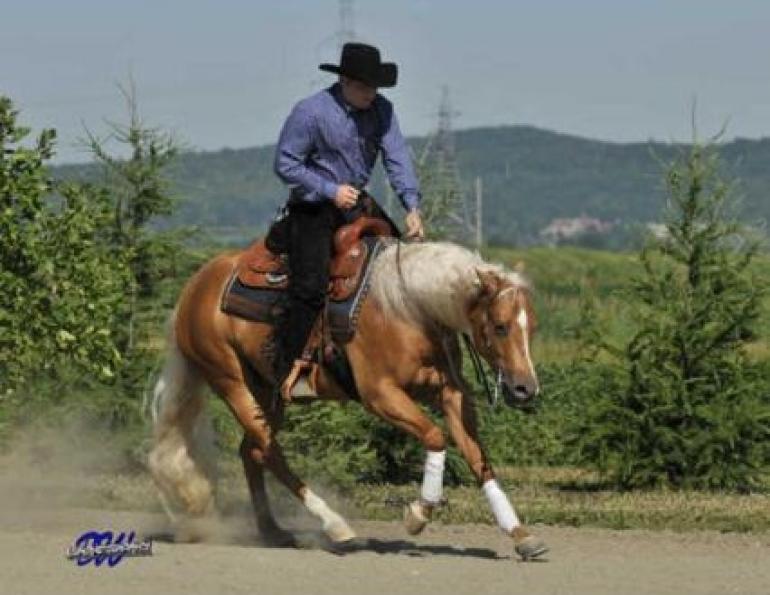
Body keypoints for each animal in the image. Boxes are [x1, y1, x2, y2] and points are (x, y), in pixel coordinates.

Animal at [148, 238, 547, 560]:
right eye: (500, 326)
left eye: (533, 327)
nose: (525, 389)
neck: (408, 307)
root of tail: (192, 289)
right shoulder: (380, 394)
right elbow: (436, 437)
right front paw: (418, 514)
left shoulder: (449, 394)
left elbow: (479, 458)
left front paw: (521, 535)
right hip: (231, 382)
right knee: (269, 450)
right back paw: (336, 526)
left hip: (267, 389)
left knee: (252, 451)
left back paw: (273, 531)